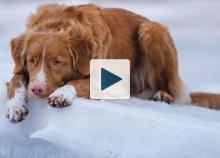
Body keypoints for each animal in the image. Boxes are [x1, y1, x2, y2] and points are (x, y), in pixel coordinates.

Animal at [5, 3, 220, 122]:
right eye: (31, 60)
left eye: (57, 61)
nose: (36, 89)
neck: (58, 24)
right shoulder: (23, 70)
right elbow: (16, 80)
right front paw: (14, 106)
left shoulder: (101, 79)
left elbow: (78, 82)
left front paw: (61, 94)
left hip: (151, 30)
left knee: (170, 90)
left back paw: (161, 95)